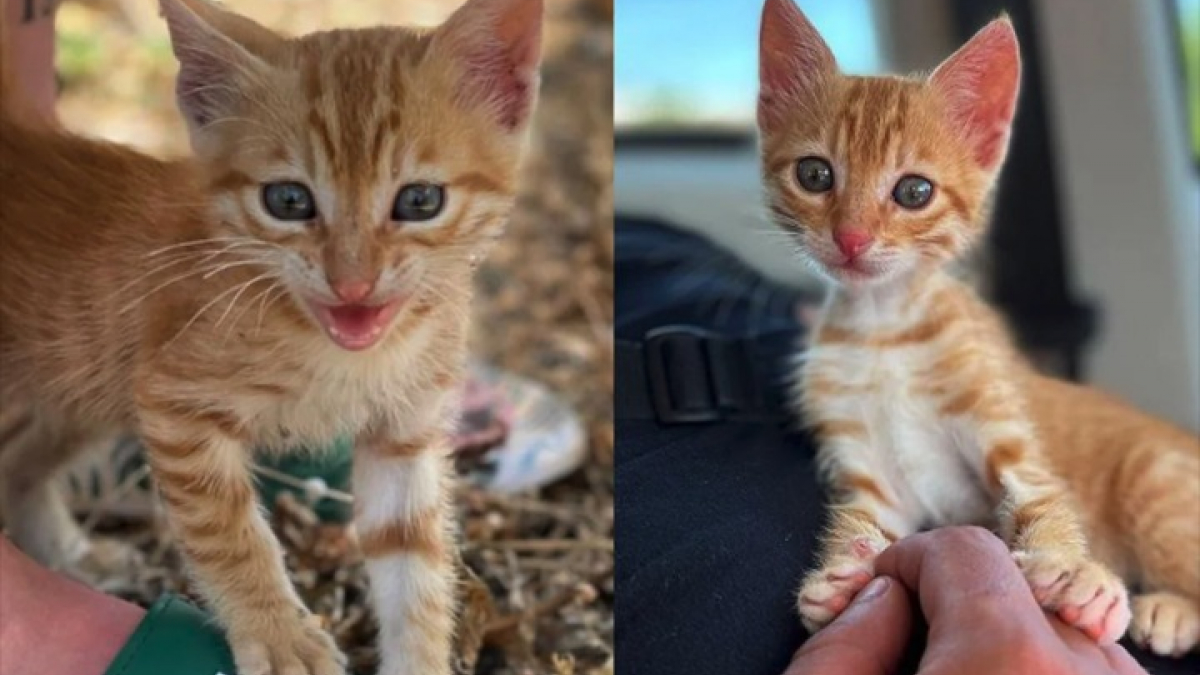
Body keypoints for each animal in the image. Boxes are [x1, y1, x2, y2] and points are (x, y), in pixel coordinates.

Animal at [0, 1, 542, 672]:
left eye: (420, 200)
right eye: (288, 200)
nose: (353, 283)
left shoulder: (404, 434)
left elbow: (414, 571)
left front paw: (419, 660)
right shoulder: (175, 406)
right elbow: (231, 536)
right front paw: (280, 635)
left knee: (18, 459)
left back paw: (70, 553)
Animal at [758, 0, 1200, 653]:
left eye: (914, 191)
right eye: (815, 175)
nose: (852, 238)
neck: (884, 328)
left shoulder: (1006, 430)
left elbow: (1043, 496)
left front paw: (1075, 574)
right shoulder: (869, 472)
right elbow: (859, 518)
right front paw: (842, 576)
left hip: (1156, 480)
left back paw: (1171, 607)